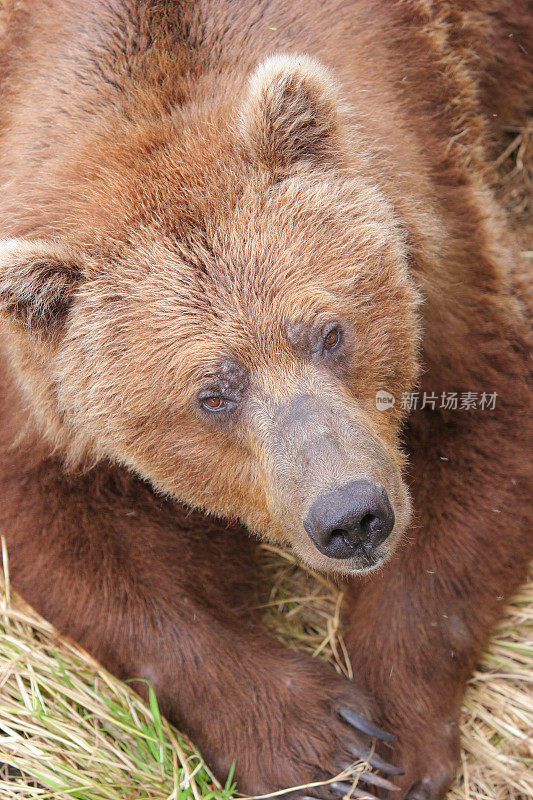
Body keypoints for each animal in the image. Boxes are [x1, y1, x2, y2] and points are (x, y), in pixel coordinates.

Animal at [0, 1, 528, 800]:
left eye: (330, 331)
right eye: (212, 394)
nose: (351, 516)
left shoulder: (439, 236)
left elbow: (485, 429)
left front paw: (400, 738)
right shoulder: (42, 402)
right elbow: (80, 546)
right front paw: (323, 747)